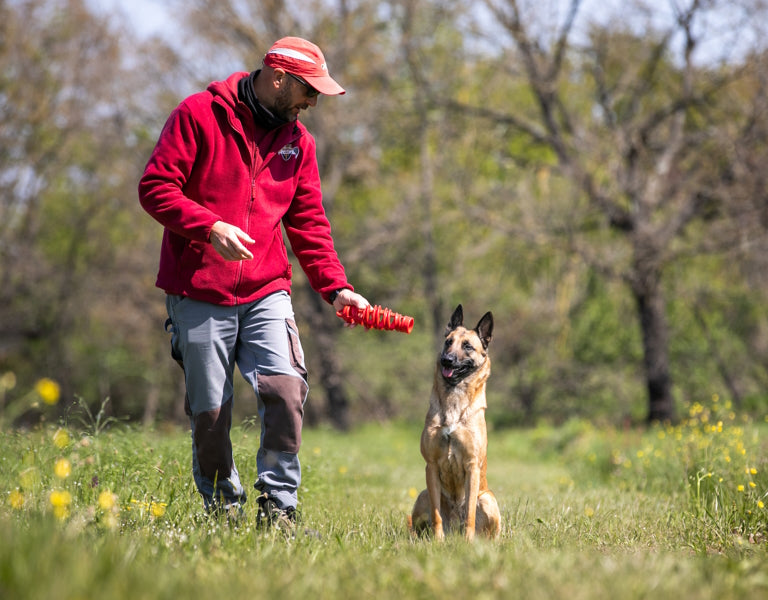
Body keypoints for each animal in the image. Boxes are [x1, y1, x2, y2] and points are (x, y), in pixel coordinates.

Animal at [412, 302, 500, 540]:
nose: (447, 360)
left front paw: (468, 542)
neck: (455, 398)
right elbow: (436, 515)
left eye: (467, 346)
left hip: (488, 499)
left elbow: (469, 513)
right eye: (448, 342)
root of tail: (454, 527)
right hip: (423, 495)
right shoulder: (431, 466)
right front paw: (438, 541)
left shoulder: (472, 466)